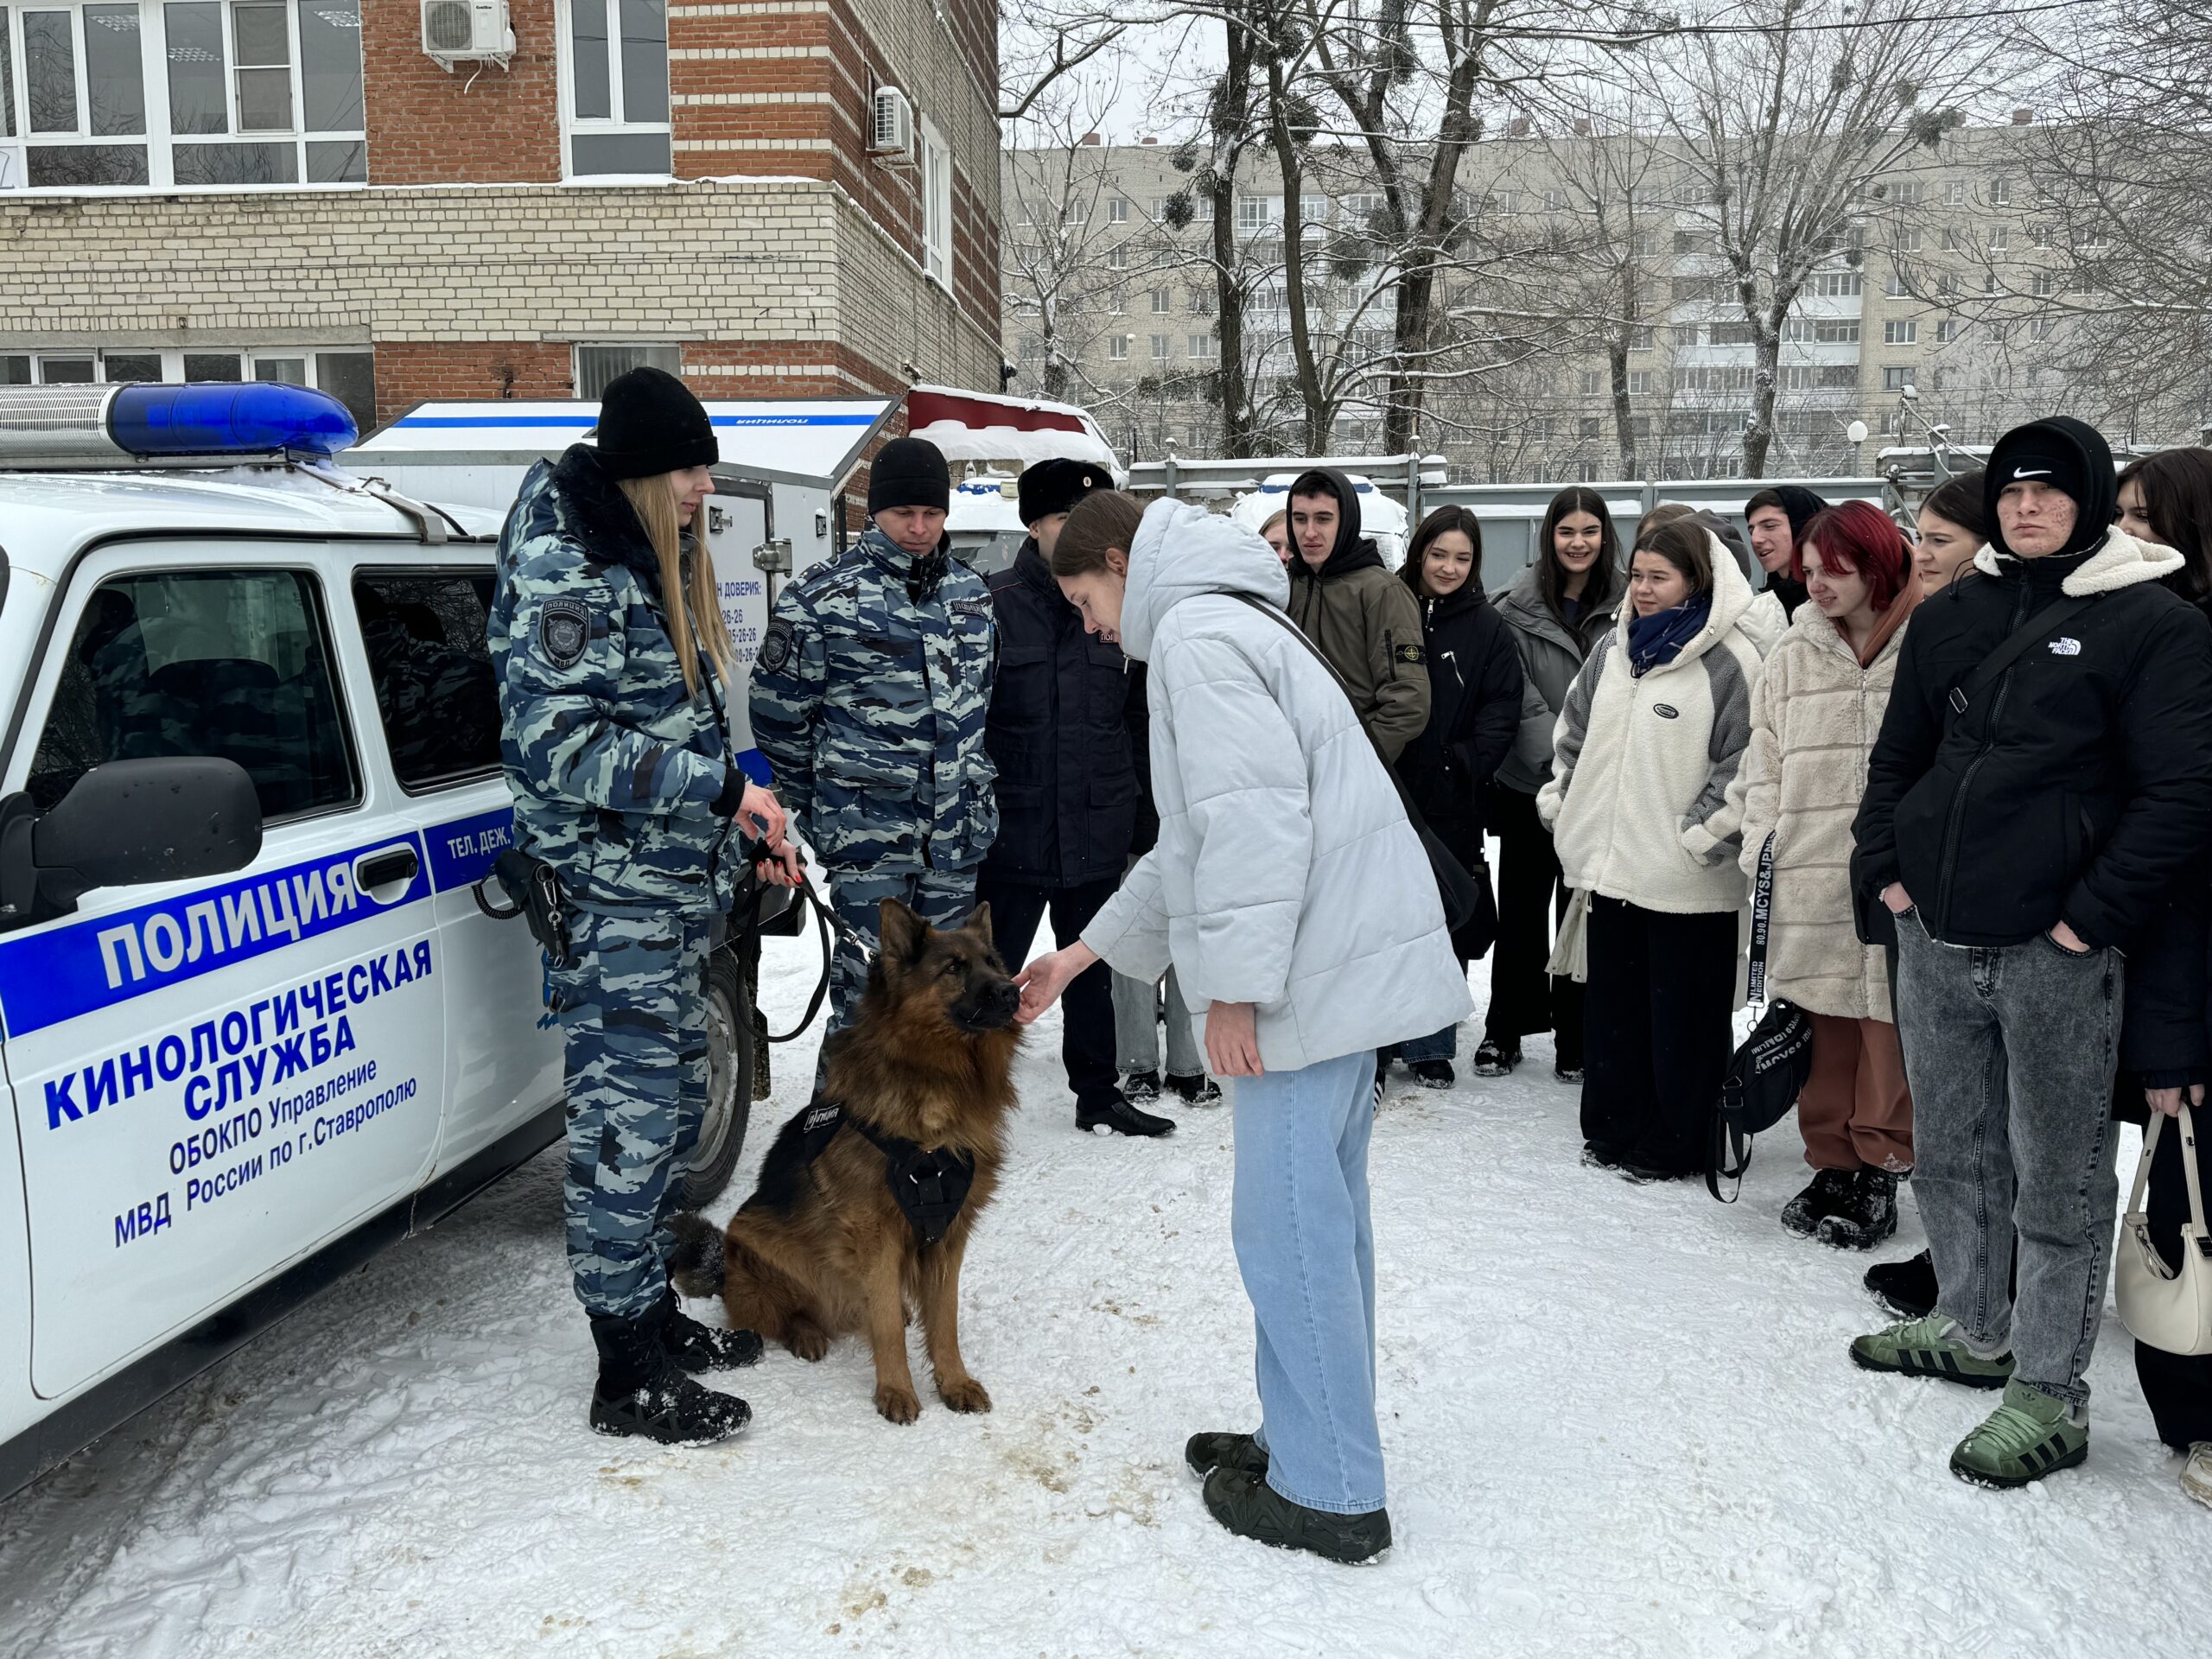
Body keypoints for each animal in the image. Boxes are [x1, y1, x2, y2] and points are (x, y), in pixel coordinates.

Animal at [668, 902, 1021, 1424]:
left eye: (994, 963)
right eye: (954, 968)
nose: (1012, 992)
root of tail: (724, 1271)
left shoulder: (948, 1235)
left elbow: (945, 1322)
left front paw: (954, 1381)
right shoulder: (877, 1237)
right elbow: (887, 1328)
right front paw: (895, 1389)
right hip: (757, 1242)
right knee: (778, 1316)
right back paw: (806, 1332)